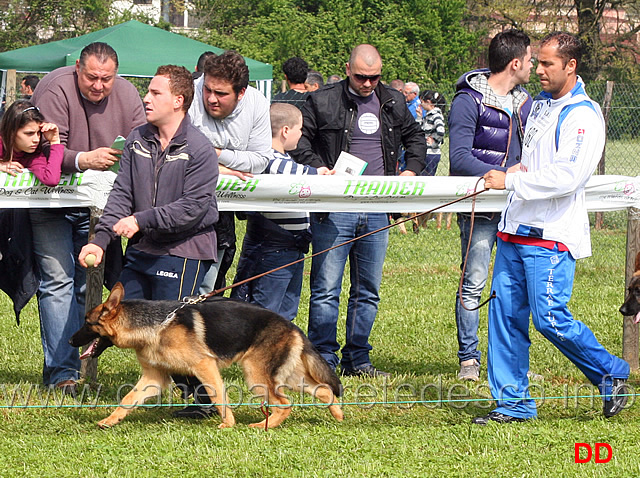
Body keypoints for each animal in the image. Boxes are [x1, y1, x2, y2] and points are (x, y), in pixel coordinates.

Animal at [67, 284, 342, 430]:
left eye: (87, 323)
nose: (69, 341)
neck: (155, 324)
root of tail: (292, 327)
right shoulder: (153, 378)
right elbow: (127, 398)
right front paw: (110, 420)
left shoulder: (204, 366)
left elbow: (218, 396)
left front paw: (228, 425)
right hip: (286, 377)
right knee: (323, 389)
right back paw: (338, 415)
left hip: (256, 376)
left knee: (286, 404)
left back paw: (262, 427)